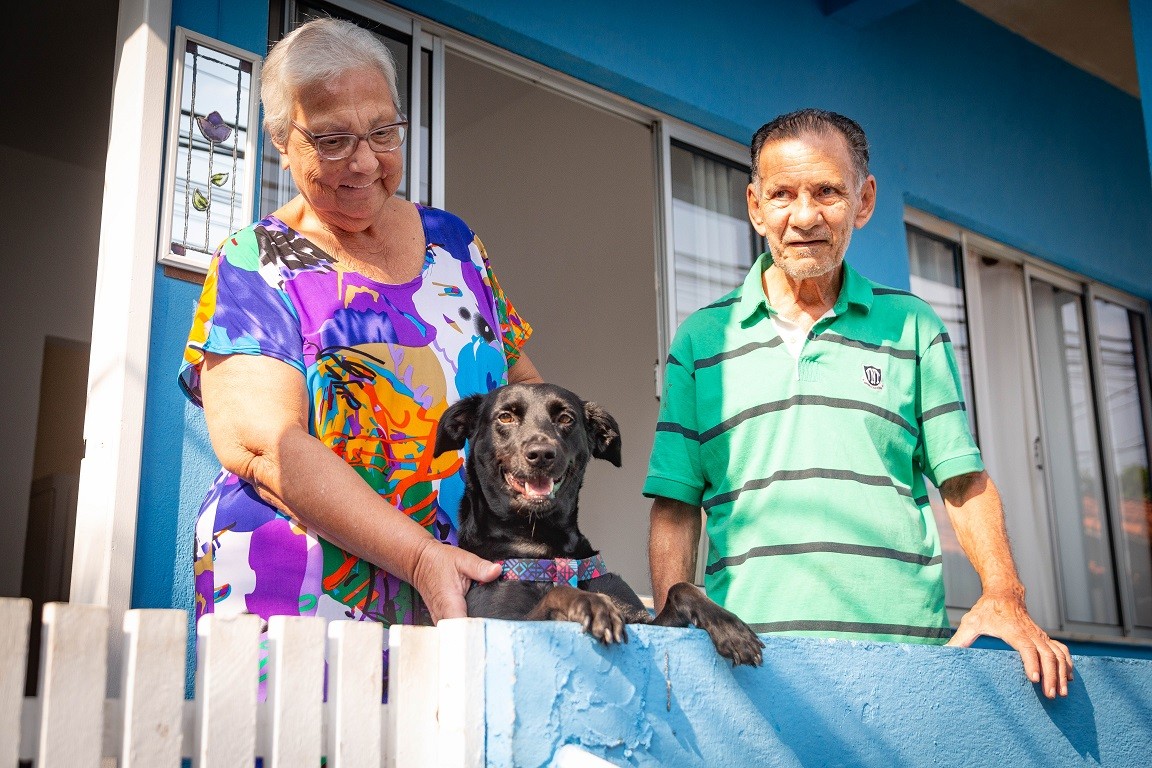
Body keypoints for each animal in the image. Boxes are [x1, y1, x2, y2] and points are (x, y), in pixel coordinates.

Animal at [433, 384, 764, 667]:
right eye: (505, 416)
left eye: (566, 418)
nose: (541, 454)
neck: (547, 547)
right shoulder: (503, 622)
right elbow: (557, 594)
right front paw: (592, 602)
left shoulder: (648, 624)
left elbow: (681, 588)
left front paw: (729, 626)